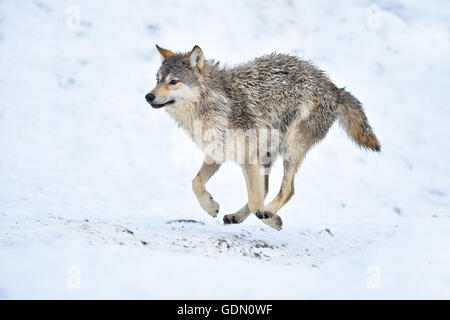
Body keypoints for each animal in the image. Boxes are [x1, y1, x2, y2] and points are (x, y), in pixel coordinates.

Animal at [145, 45, 380, 230]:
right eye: (157, 80)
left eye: (174, 81)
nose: (149, 96)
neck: (219, 103)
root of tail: (334, 88)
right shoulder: (217, 154)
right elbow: (195, 183)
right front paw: (211, 206)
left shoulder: (249, 159)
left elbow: (256, 200)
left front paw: (272, 221)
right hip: (267, 155)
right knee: (267, 190)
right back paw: (237, 216)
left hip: (289, 150)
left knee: (287, 190)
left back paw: (268, 213)